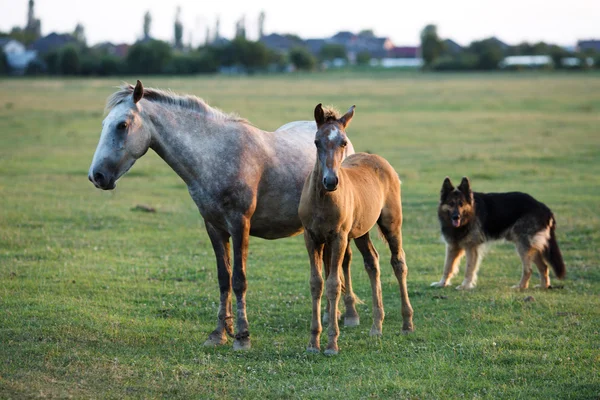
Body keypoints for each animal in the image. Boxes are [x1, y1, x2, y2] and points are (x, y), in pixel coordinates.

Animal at [432, 177, 564, 290]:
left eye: (461, 204)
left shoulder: (471, 248)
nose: (456, 217)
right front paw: (442, 283)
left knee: (529, 270)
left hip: (522, 246)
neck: (468, 216)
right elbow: (447, 267)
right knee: (544, 267)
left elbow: (469, 269)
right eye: (451, 203)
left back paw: (521, 287)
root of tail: (543, 207)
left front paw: (465, 286)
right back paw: (543, 286)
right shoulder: (452, 247)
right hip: (530, 247)